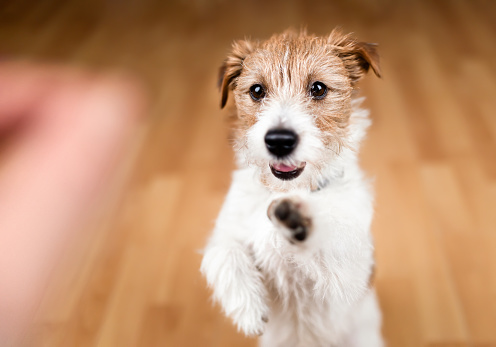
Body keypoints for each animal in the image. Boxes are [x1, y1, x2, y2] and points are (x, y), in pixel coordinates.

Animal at [201, 29, 384, 347]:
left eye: (318, 88)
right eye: (257, 90)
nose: (279, 141)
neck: (285, 189)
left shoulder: (348, 275)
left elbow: (333, 242)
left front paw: (299, 219)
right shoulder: (228, 230)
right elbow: (225, 253)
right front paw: (250, 310)